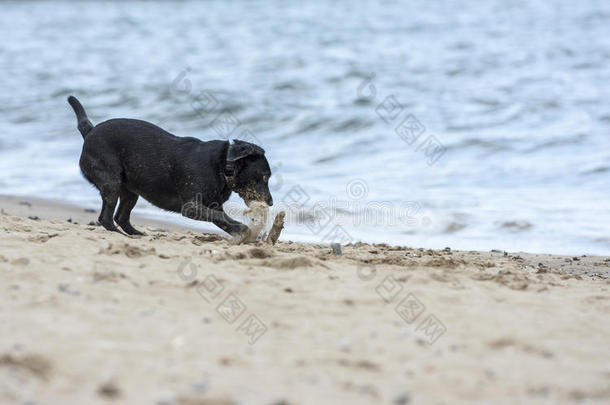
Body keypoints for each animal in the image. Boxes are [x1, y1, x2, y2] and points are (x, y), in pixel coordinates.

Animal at [66, 96, 270, 237]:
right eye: (265, 176)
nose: (271, 203)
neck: (222, 165)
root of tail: (90, 131)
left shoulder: (214, 206)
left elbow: (223, 219)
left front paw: (242, 232)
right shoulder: (191, 207)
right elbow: (220, 218)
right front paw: (243, 229)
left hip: (130, 191)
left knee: (121, 217)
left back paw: (136, 234)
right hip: (111, 184)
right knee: (106, 218)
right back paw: (118, 234)